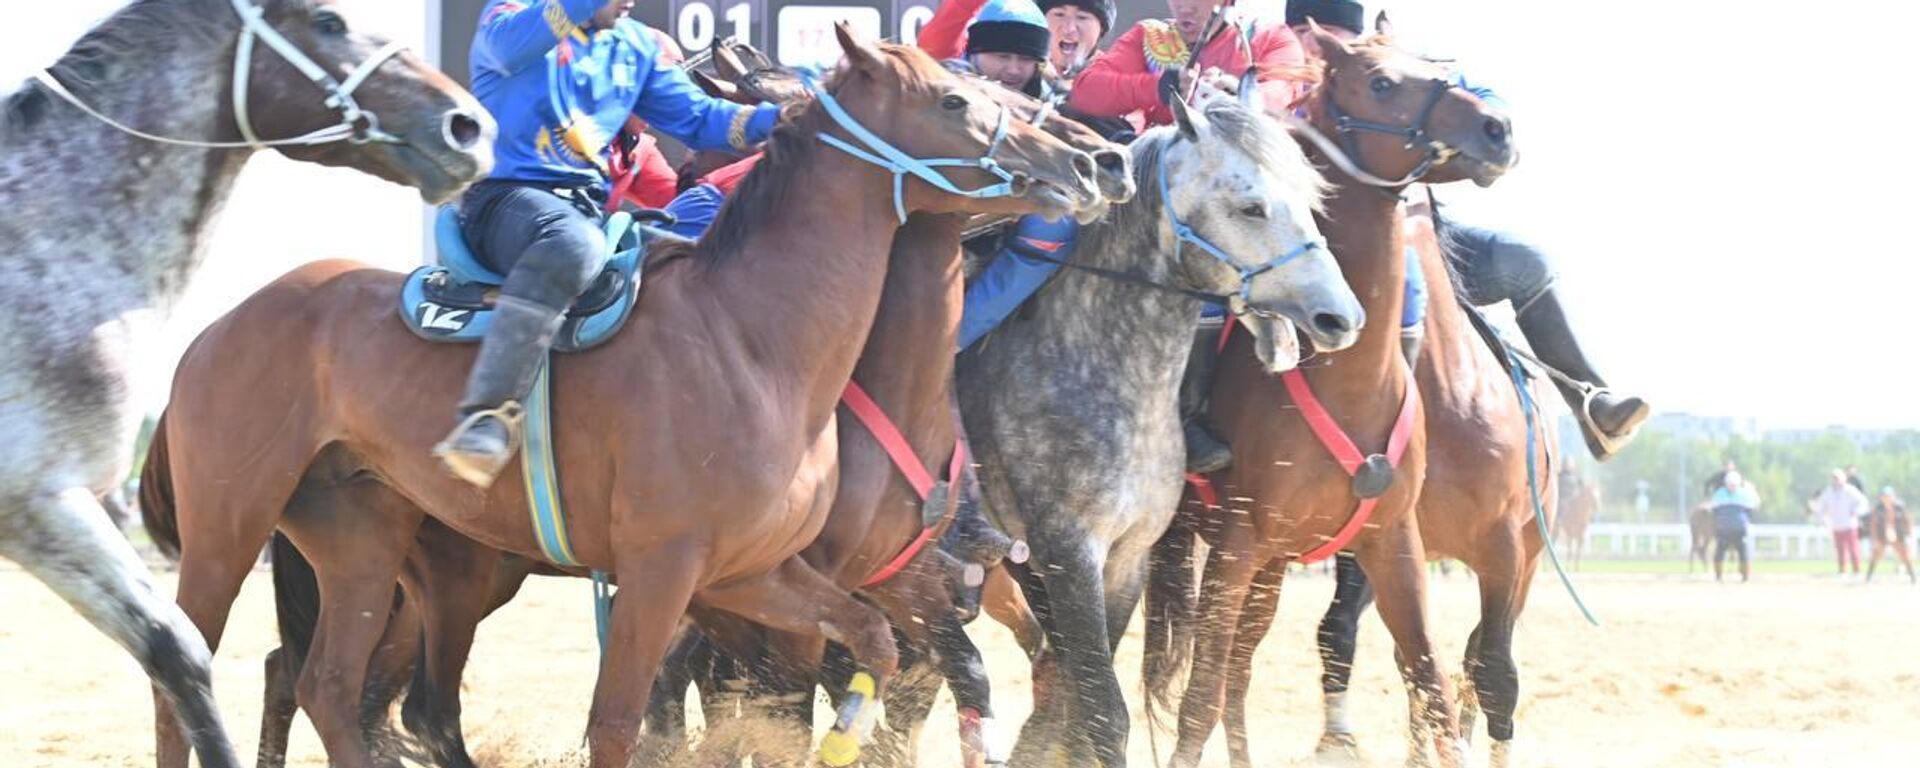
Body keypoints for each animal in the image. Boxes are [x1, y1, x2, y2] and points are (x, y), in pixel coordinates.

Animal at [139, 25, 1098, 768]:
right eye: (957, 100)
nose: (1088, 165)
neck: (758, 345)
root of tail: (219, 327)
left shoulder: (758, 574)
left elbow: (866, 653)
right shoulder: (662, 575)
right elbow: (625, 725)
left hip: (361, 539)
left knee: (333, 688)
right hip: (237, 527)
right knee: (196, 670)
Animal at [960, 86, 1367, 764]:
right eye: (1251, 206)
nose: (1340, 316)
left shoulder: (1126, 559)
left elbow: (1071, 708)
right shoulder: (1071, 552)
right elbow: (1102, 714)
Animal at [1144, 30, 1520, 768]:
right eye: (1379, 82)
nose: (1497, 127)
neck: (1343, 382)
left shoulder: (1392, 546)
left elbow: (1432, 687)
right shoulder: (1234, 546)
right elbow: (1197, 702)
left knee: (1238, 673)